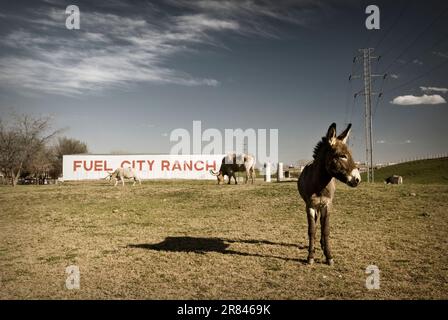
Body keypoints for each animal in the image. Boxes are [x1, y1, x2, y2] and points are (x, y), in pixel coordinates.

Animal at [298, 122, 360, 264]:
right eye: (342, 155)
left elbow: (325, 229)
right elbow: (312, 229)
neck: (320, 185)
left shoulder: (327, 205)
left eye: (350, 154)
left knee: (321, 224)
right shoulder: (310, 206)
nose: (358, 179)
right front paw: (310, 256)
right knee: (316, 224)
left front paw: (329, 256)